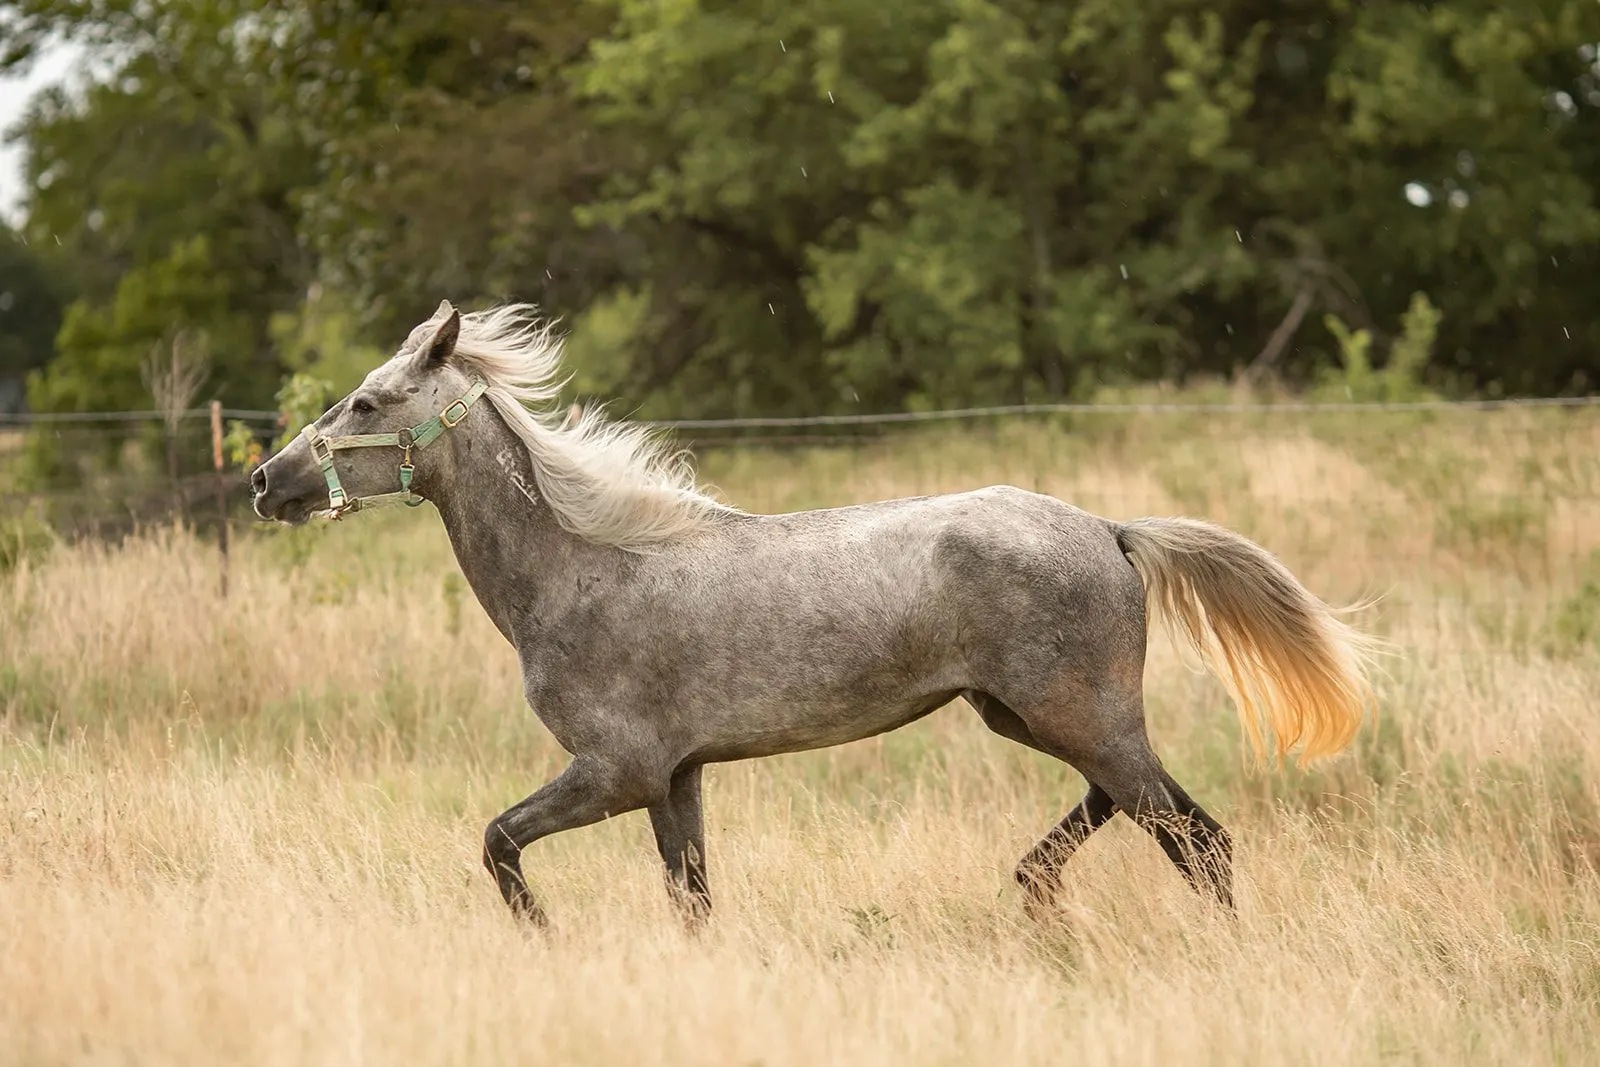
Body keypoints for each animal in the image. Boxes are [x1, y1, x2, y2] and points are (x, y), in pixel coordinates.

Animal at [251, 300, 1382, 926]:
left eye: (365, 402)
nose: (268, 480)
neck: (584, 568)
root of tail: (1108, 528)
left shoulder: (613, 772)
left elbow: (496, 841)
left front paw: (542, 934)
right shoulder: (676, 779)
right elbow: (693, 901)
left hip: (1079, 717)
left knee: (1200, 839)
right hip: (1030, 715)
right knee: (1132, 810)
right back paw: (1029, 886)